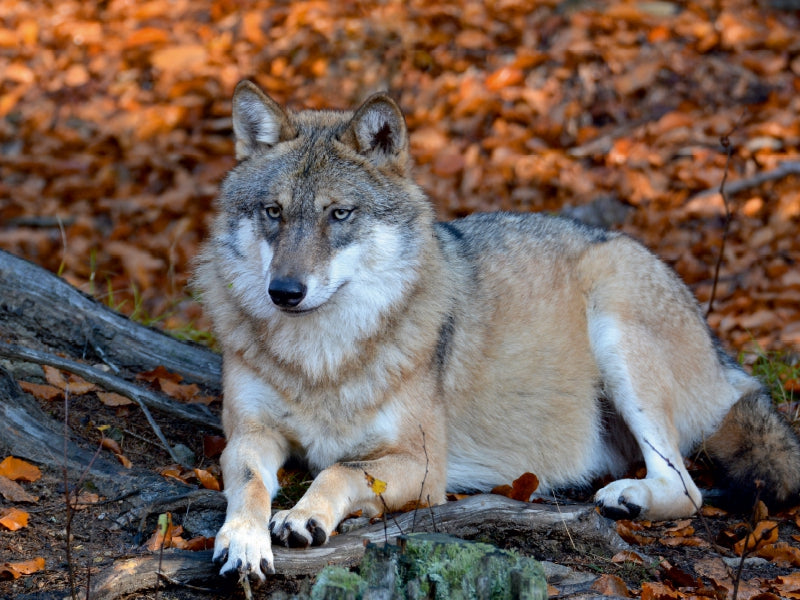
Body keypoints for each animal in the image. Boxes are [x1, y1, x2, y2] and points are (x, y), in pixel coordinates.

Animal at [195, 80, 800, 579]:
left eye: (338, 214)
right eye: (273, 212)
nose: (284, 292)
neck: (321, 358)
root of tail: (720, 352)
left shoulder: (424, 466)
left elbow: (337, 471)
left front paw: (303, 518)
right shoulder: (249, 435)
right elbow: (249, 485)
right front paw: (243, 540)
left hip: (616, 325)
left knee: (689, 490)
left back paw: (630, 498)